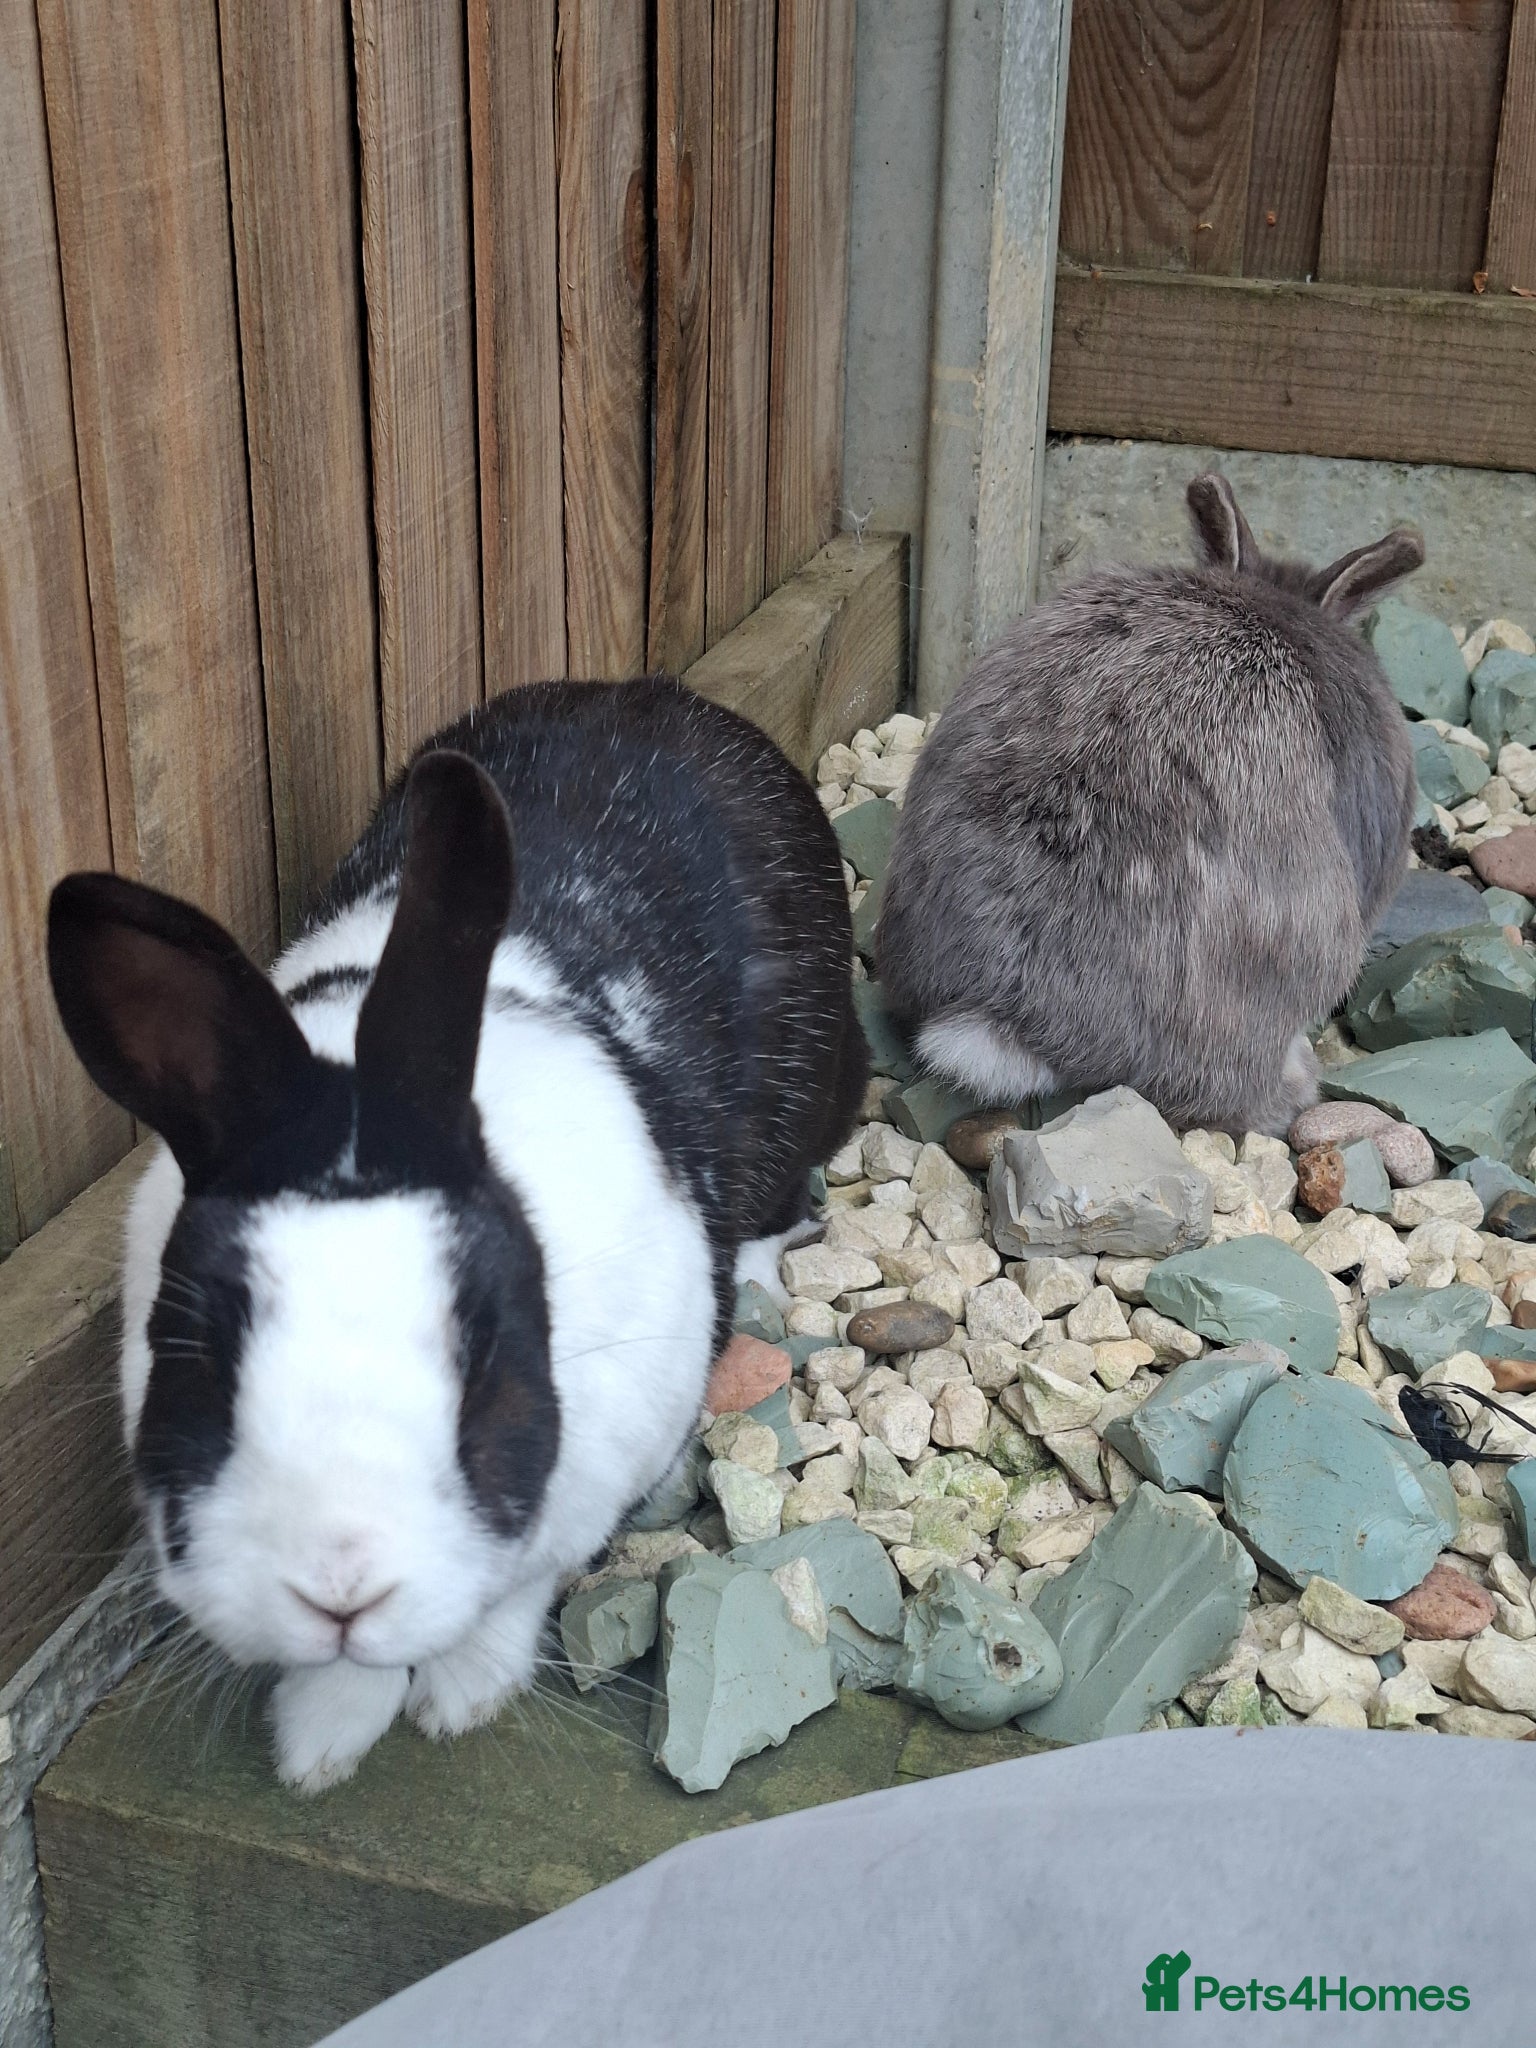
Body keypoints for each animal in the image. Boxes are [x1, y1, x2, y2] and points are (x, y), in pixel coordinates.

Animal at [47, 677, 866, 1793]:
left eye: (487, 1369)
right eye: (196, 1363)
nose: (340, 1586)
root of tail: (658, 697)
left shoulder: (593, 1469)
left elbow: (514, 1593)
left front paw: (458, 1699)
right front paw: (321, 1740)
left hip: (811, 1085)